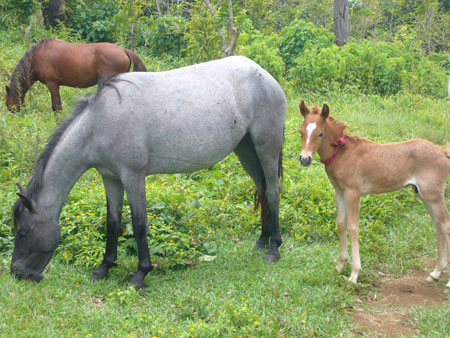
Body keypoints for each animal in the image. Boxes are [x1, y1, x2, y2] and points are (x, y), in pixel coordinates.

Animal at [10, 56, 286, 290]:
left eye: (23, 232)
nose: (17, 274)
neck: (101, 123)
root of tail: (265, 75)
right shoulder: (110, 177)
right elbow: (113, 222)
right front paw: (104, 268)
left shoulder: (133, 176)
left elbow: (139, 223)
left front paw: (140, 274)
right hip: (246, 150)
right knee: (262, 189)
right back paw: (261, 241)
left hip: (266, 148)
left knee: (273, 191)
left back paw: (273, 248)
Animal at [296, 101, 450, 294]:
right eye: (301, 131)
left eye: (320, 133)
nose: (305, 159)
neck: (343, 154)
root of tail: (443, 152)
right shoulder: (339, 191)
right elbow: (340, 224)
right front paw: (340, 265)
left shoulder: (353, 193)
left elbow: (353, 228)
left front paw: (354, 274)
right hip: (424, 196)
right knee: (438, 225)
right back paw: (435, 273)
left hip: (433, 195)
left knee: (446, 225)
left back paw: (447, 282)